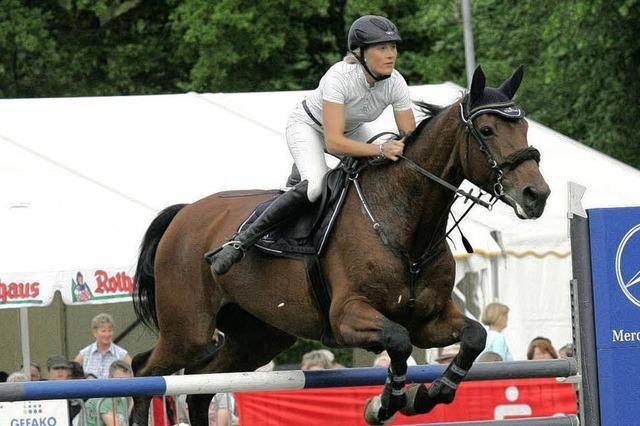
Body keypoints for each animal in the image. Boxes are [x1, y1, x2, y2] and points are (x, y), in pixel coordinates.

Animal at [130, 64, 552, 426]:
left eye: (524, 127)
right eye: (487, 130)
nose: (538, 195)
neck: (404, 222)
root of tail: (184, 215)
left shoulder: (429, 321)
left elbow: (474, 336)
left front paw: (429, 394)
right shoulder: (349, 315)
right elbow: (398, 342)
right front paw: (387, 402)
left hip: (258, 336)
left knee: (200, 386)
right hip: (188, 329)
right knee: (144, 373)